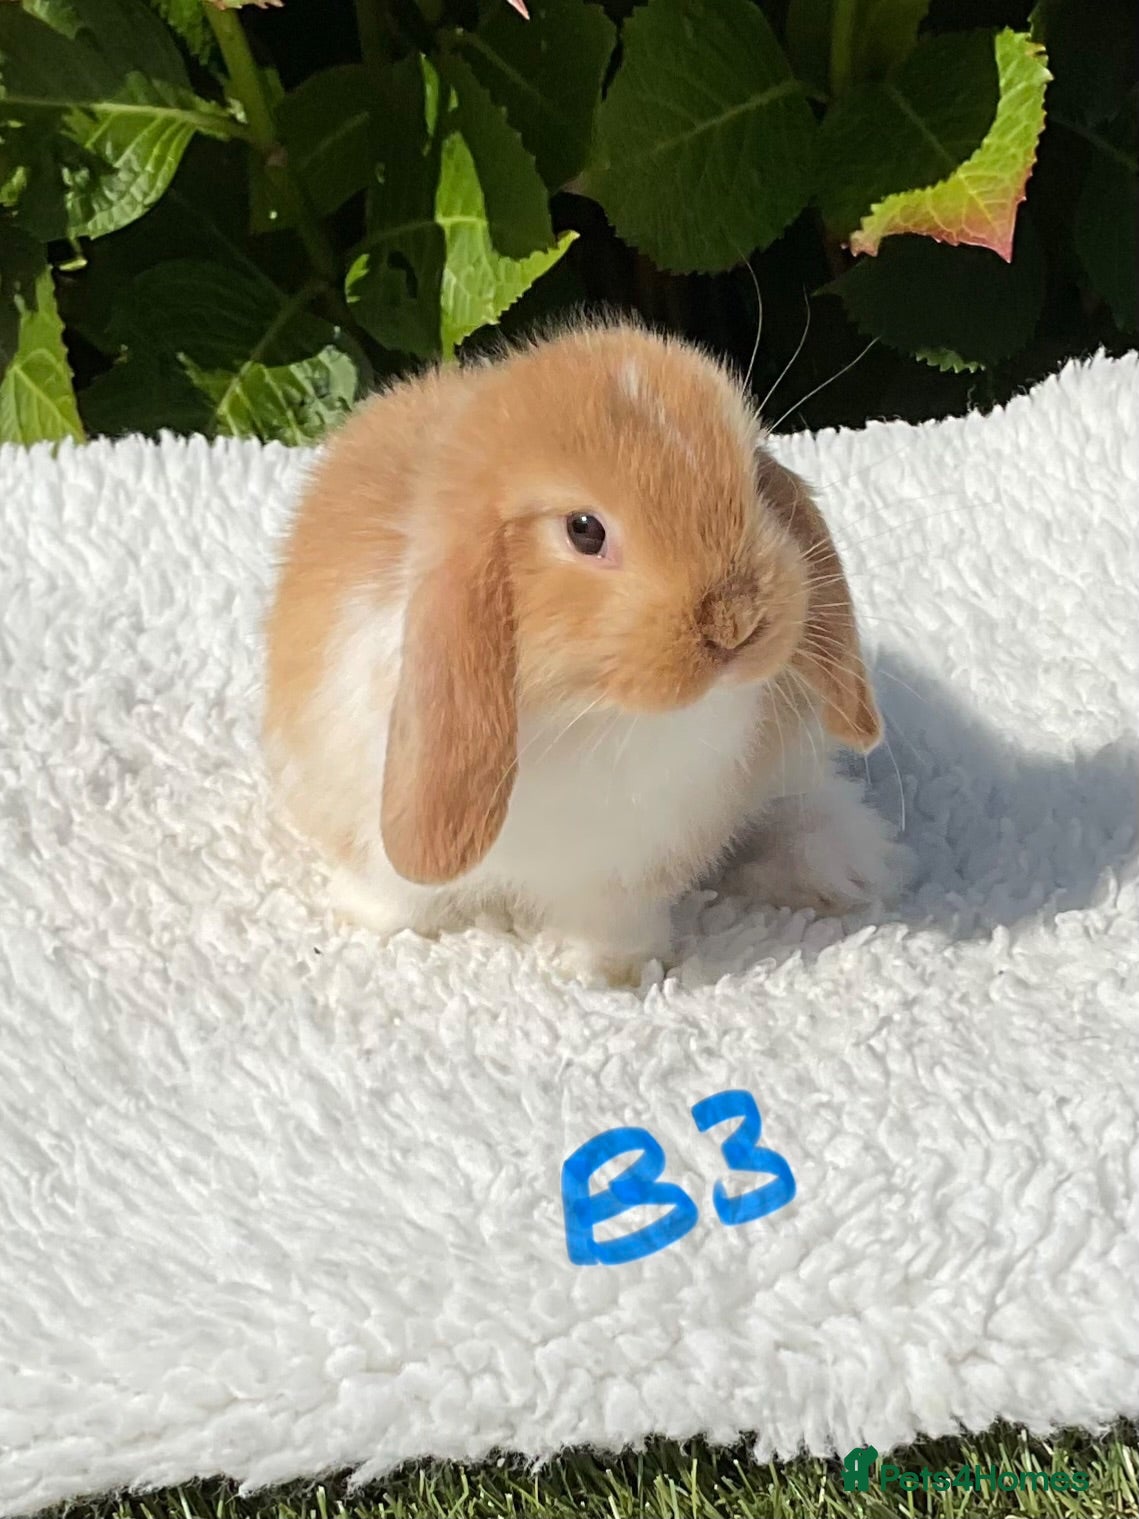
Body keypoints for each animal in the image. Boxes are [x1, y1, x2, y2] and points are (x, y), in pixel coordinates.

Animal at [264, 319, 907, 987]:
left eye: (755, 482)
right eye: (584, 530)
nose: (736, 623)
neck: (589, 711)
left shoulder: (626, 872)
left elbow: (610, 923)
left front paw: (609, 972)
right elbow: (393, 889)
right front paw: (370, 922)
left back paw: (844, 869)